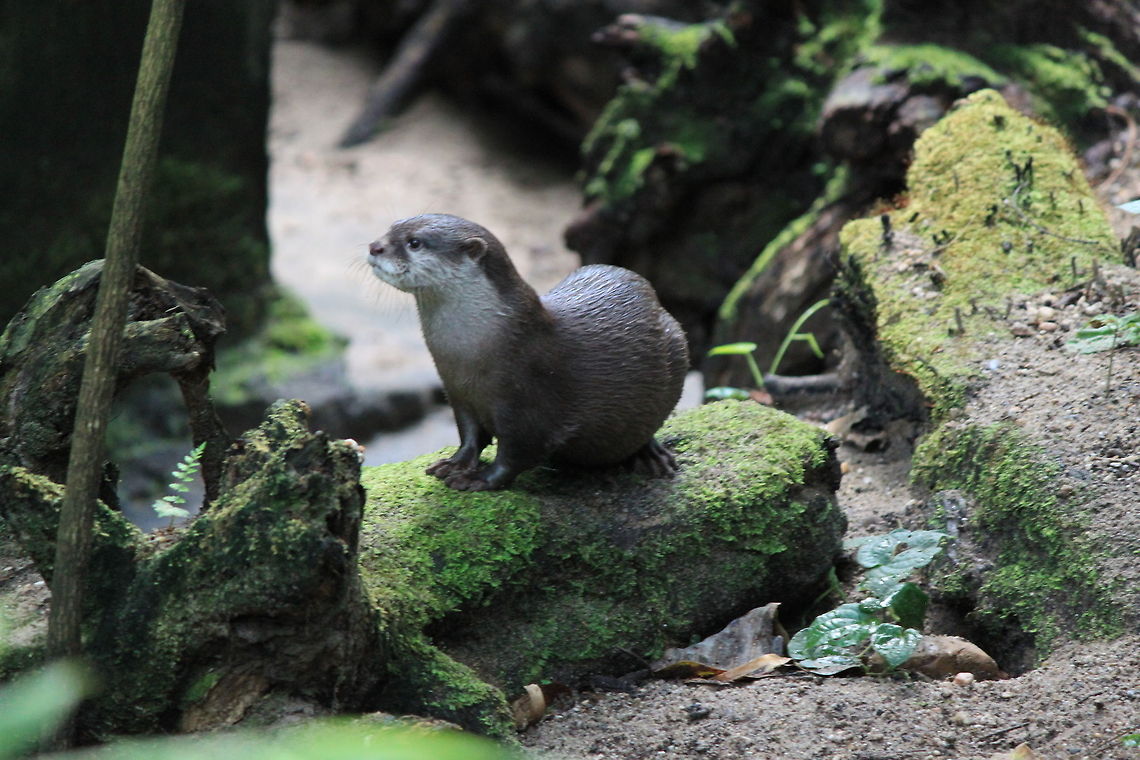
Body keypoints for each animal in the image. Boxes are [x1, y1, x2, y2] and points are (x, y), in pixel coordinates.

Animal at [367, 214, 688, 491]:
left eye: (414, 242)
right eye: (390, 228)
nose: (374, 246)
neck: (468, 356)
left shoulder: (529, 403)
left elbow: (518, 453)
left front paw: (480, 479)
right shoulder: (459, 395)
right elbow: (470, 435)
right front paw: (456, 463)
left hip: (676, 346)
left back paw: (650, 454)